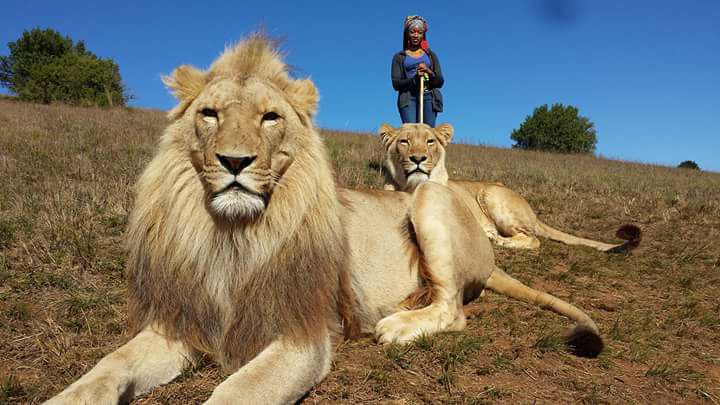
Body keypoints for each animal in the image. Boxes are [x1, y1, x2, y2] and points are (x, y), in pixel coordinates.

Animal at [47, 36, 603, 405]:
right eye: (210, 114)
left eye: (270, 117)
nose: (234, 161)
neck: (232, 236)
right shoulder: (179, 324)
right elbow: (106, 368)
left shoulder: (301, 338)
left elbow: (234, 392)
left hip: (428, 199)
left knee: (453, 308)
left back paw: (398, 325)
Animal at [380, 123, 641, 253]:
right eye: (404, 142)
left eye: (430, 141)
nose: (418, 158)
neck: (413, 187)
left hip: (492, 194)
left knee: (533, 239)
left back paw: (501, 240)